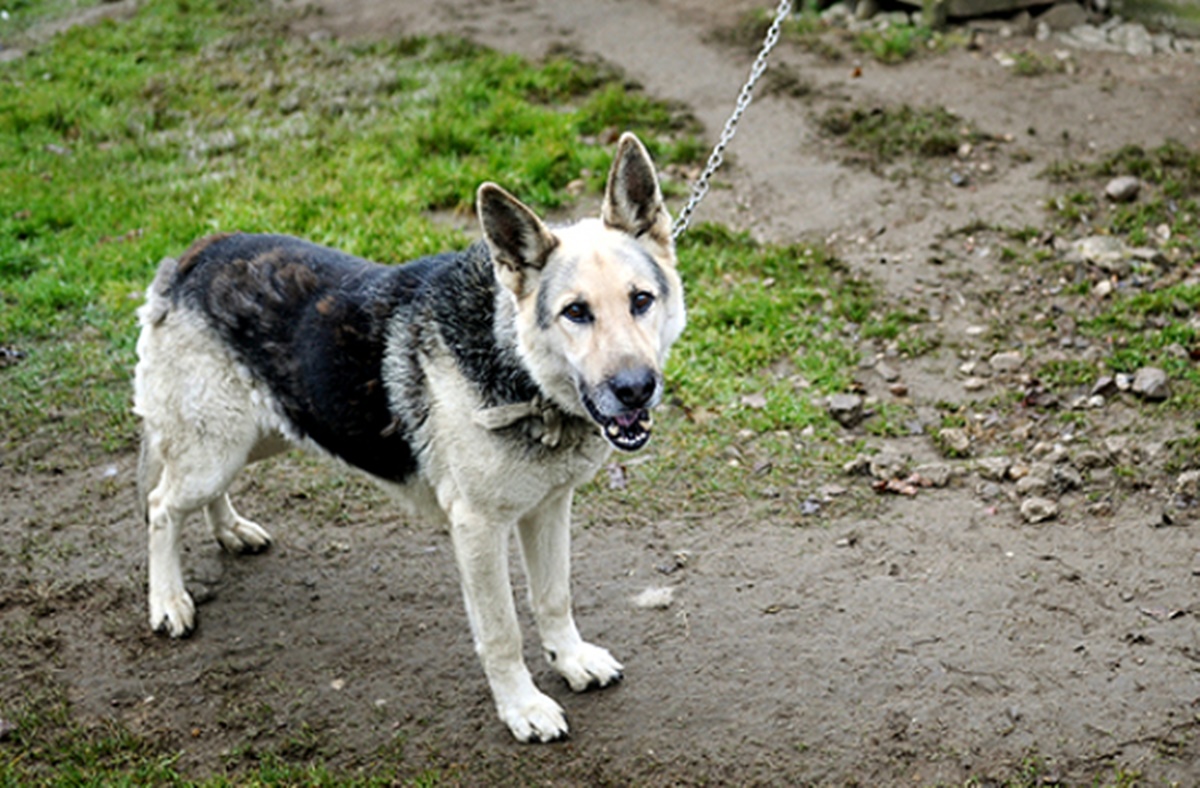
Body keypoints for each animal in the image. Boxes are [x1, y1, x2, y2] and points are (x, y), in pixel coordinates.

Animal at [131, 131, 686, 738]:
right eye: (576, 312)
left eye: (640, 301)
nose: (635, 390)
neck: (516, 365)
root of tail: (193, 256)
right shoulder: (478, 529)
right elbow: (503, 631)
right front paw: (522, 707)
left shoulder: (548, 509)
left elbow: (553, 597)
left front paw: (571, 659)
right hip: (218, 449)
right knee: (161, 505)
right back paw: (168, 600)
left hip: (257, 435)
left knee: (197, 494)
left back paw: (229, 529)